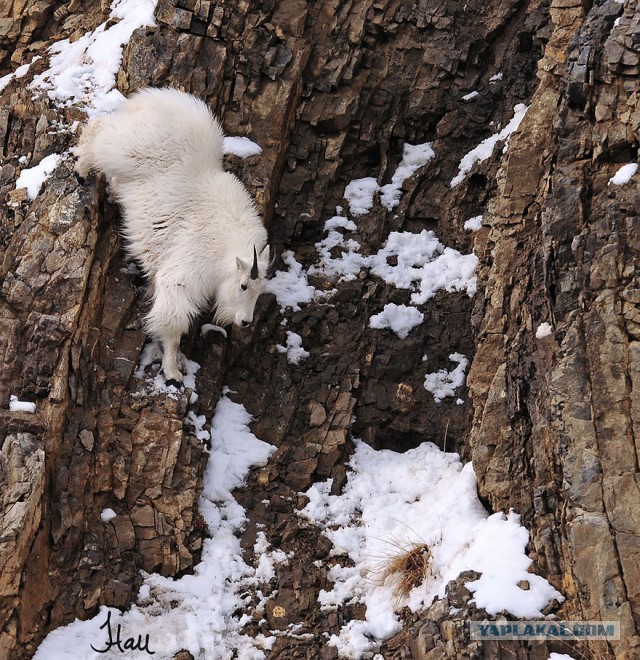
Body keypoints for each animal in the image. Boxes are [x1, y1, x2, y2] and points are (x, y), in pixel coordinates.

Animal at [74, 87, 270, 386]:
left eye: (260, 290)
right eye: (244, 285)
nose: (245, 321)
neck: (224, 249)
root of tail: (156, 98)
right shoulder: (182, 276)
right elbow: (173, 324)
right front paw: (172, 372)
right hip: (130, 148)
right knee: (99, 130)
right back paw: (81, 171)